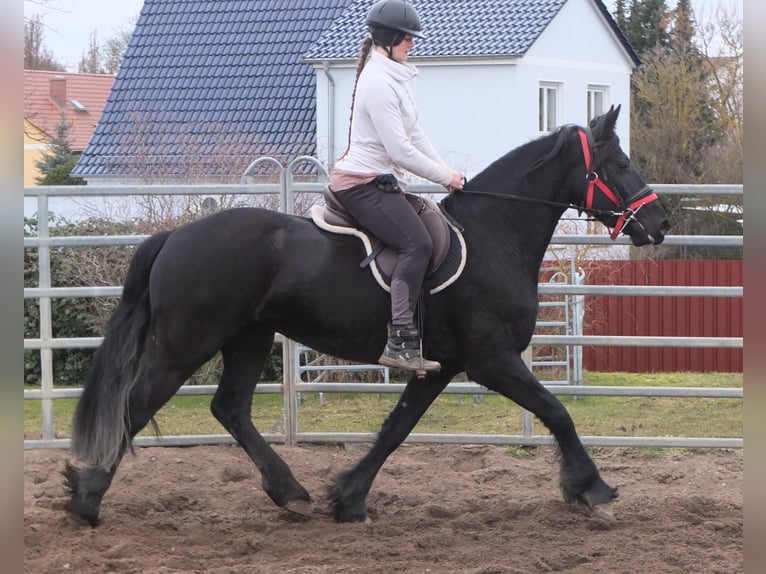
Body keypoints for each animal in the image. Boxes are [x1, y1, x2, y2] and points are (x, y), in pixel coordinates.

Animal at [63, 106, 668, 528]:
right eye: (619, 164)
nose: (659, 223)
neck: (493, 235)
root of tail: (174, 236)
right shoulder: (491, 359)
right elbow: (556, 412)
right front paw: (592, 490)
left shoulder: (439, 366)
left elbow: (395, 430)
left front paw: (348, 498)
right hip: (186, 344)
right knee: (137, 407)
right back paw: (86, 499)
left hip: (249, 338)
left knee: (229, 408)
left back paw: (290, 494)